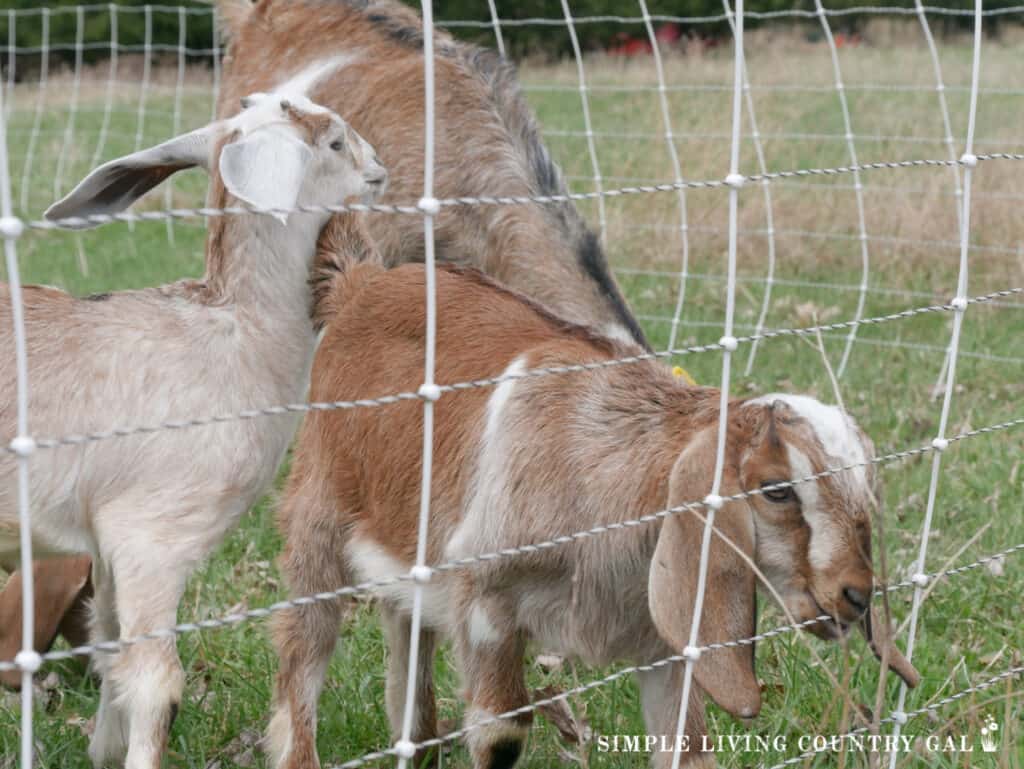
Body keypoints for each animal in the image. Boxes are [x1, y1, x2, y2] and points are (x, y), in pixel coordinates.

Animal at [0, 93, 385, 765]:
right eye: (336, 143)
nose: (381, 170)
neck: (237, 334)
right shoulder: (153, 535)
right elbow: (156, 683)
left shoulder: (106, 542)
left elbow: (109, 647)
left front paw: (103, 750)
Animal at [268, 264, 917, 769]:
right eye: (777, 490)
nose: (856, 595)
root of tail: (361, 282)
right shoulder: (488, 605)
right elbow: (502, 734)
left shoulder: (665, 638)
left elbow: (687, 747)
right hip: (317, 518)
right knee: (305, 645)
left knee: (408, 643)